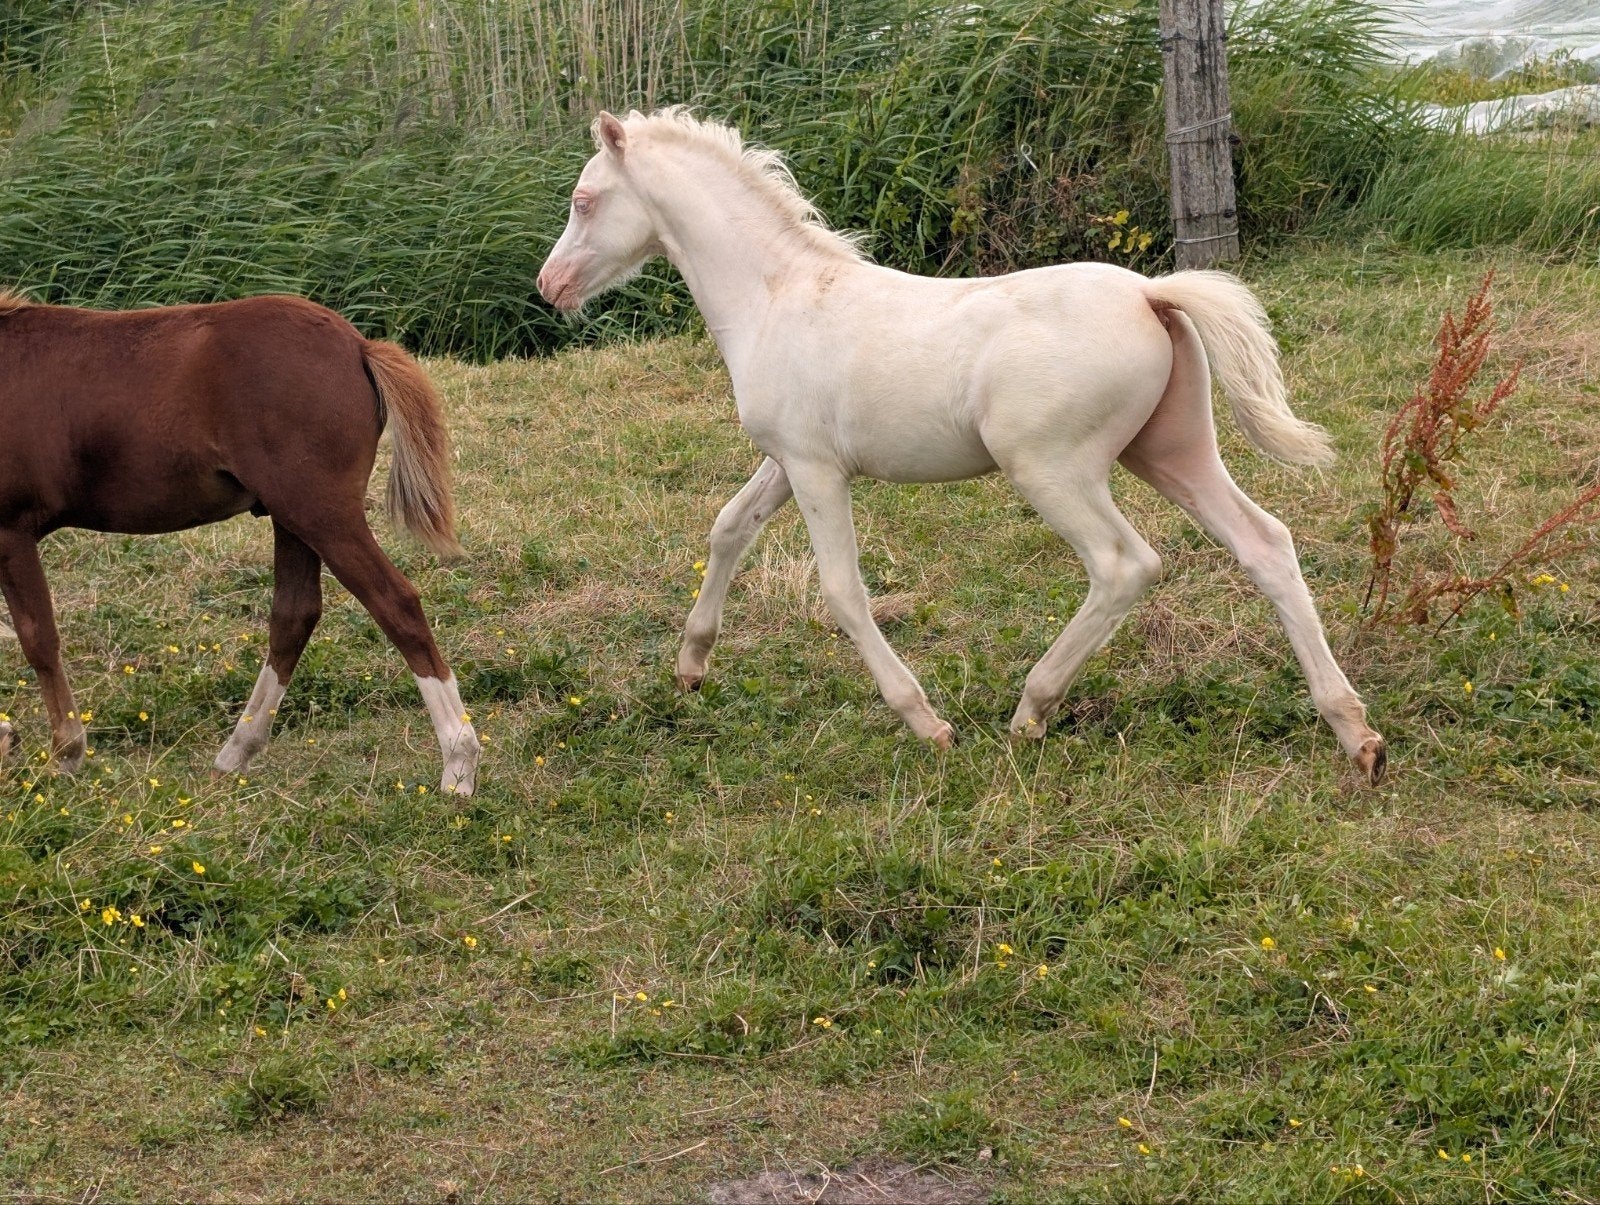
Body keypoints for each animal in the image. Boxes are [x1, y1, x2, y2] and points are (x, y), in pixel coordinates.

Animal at [0, 289, 480, 794]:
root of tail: (358, 347)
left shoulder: (11, 530)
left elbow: (37, 638)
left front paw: (65, 754)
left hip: (321, 512)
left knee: (396, 604)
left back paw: (459, 762)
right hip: (292, 518)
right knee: (294, 615)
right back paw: (236, 752)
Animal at [536, 108, 1386, 785]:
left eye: (584, 200)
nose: (550, 286)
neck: (778, 296)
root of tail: (1151, 294)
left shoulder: (816, 469)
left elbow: (842, 591)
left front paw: (926, 722)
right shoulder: (786, 461)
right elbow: (727, 528)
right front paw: (690, 666)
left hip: (1051, 469)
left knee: (1125, 565)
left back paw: (1031, 709)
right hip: (1172, 452)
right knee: (1265, 543)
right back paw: (1355, 731)